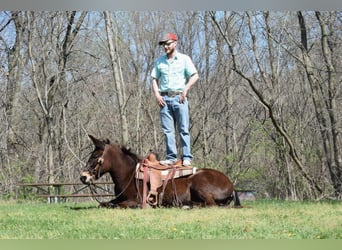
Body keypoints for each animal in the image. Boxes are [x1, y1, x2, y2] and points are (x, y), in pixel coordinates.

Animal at [80, 135, 240, 209]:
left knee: (210, 204)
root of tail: (230, 184)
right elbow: (105, 203)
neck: (129, 175)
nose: (83, 177)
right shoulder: (117, 198)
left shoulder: (136, 200)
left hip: (199, 185)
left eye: (95, 156)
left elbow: (118, 205)